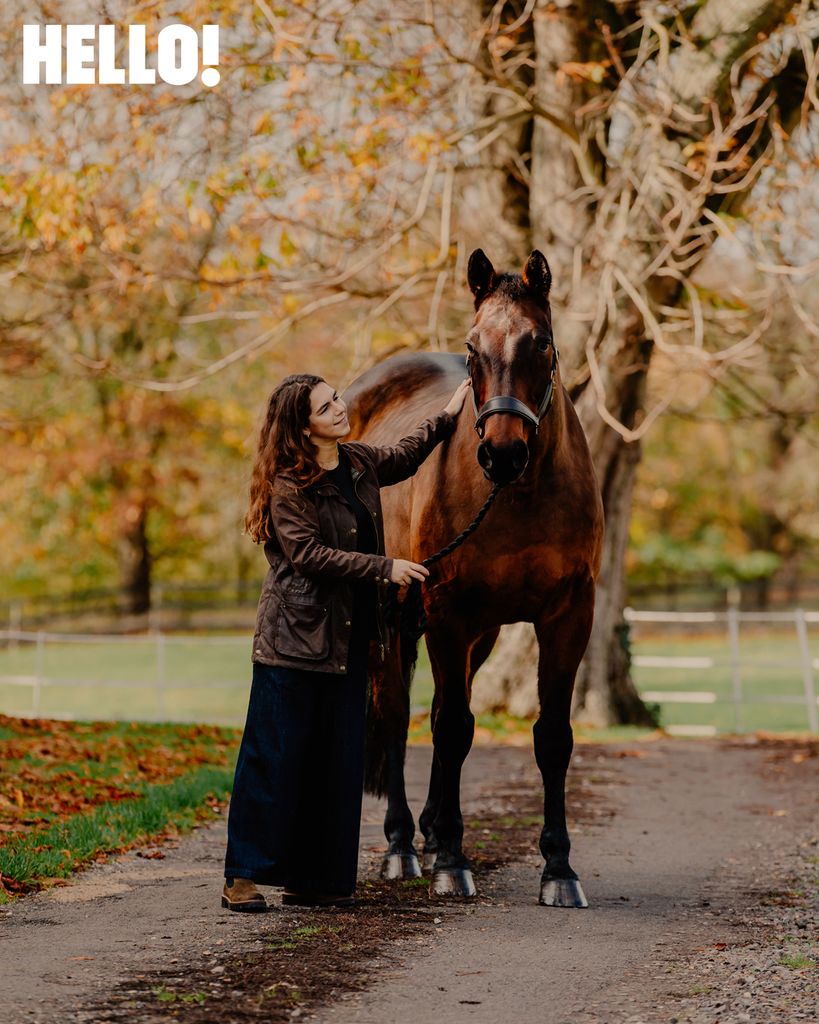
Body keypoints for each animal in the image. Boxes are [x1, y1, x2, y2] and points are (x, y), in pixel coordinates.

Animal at [344, 249, 604, 906]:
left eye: (542, 342)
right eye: (471, 345)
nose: (502, 454)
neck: (518, 493)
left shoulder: (568, 615)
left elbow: (552, 737)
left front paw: (559, 868)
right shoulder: (448, 612)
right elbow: (454, 730)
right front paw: (452, 863)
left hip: (478, 636)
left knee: (437, 712)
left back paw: (433, 830)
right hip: (395, 623)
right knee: (398, 718)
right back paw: (405, 846)